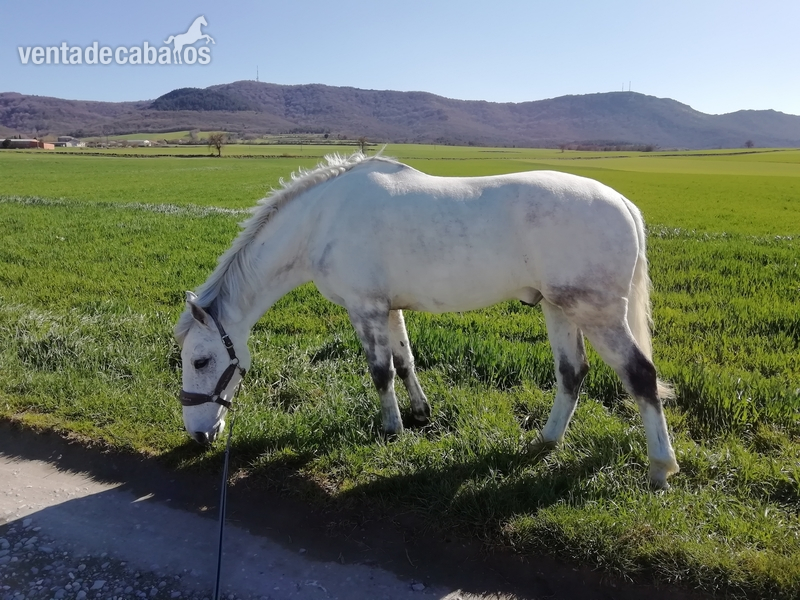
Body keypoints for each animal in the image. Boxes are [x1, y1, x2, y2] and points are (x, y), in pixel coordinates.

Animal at [174, 152, 680, 487]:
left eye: (200, 360)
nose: (198, 436)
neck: (322, 220)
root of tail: (623, 203)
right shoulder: (390, 308)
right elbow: (405, 362)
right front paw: (419, 413)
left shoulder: (365, 308)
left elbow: (380, 373)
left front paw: (391, 428)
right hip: (559, 308)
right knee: (572, 374)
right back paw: (546, 441)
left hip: (598, 313)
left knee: (640, 375)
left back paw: (660, 467)